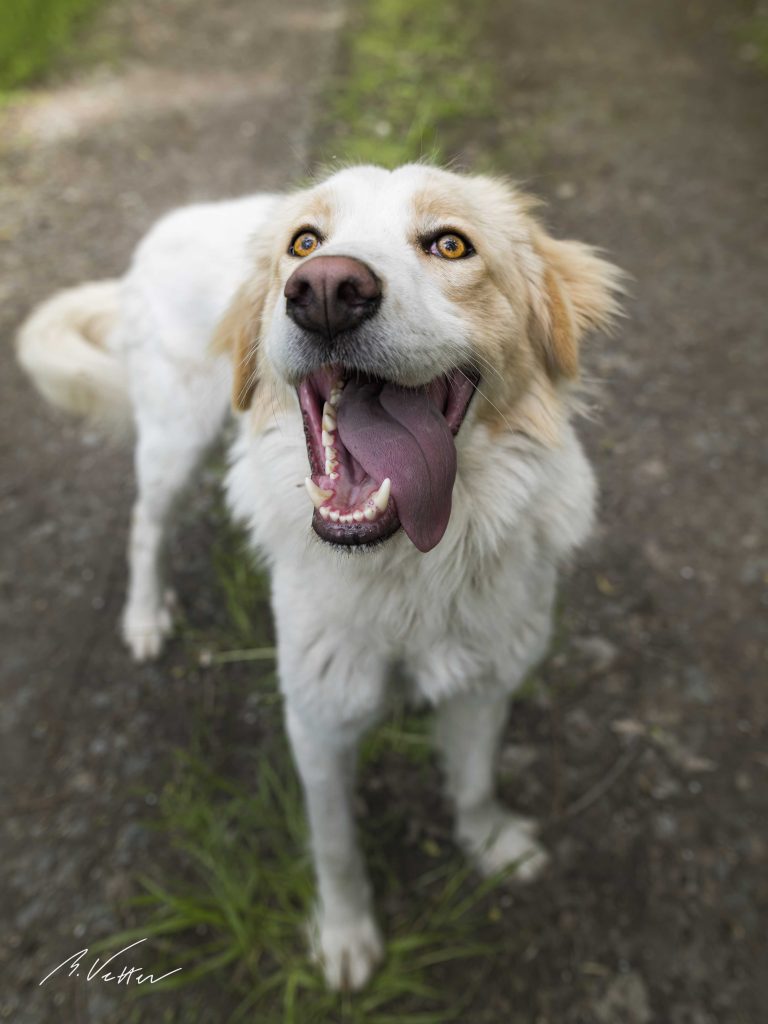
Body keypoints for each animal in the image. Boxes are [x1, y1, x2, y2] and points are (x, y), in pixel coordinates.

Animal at [15, 163, 622, 987]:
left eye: (450, 244)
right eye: (305, 242)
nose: (327, 289)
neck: (409, 569)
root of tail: (168, 226)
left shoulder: (487, 678)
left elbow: (473, 783)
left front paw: (491, 845)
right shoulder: (318, 718)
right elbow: (335, 847)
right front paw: (345, 937)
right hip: (176, 439)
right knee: (146, 524)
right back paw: (144, 616)